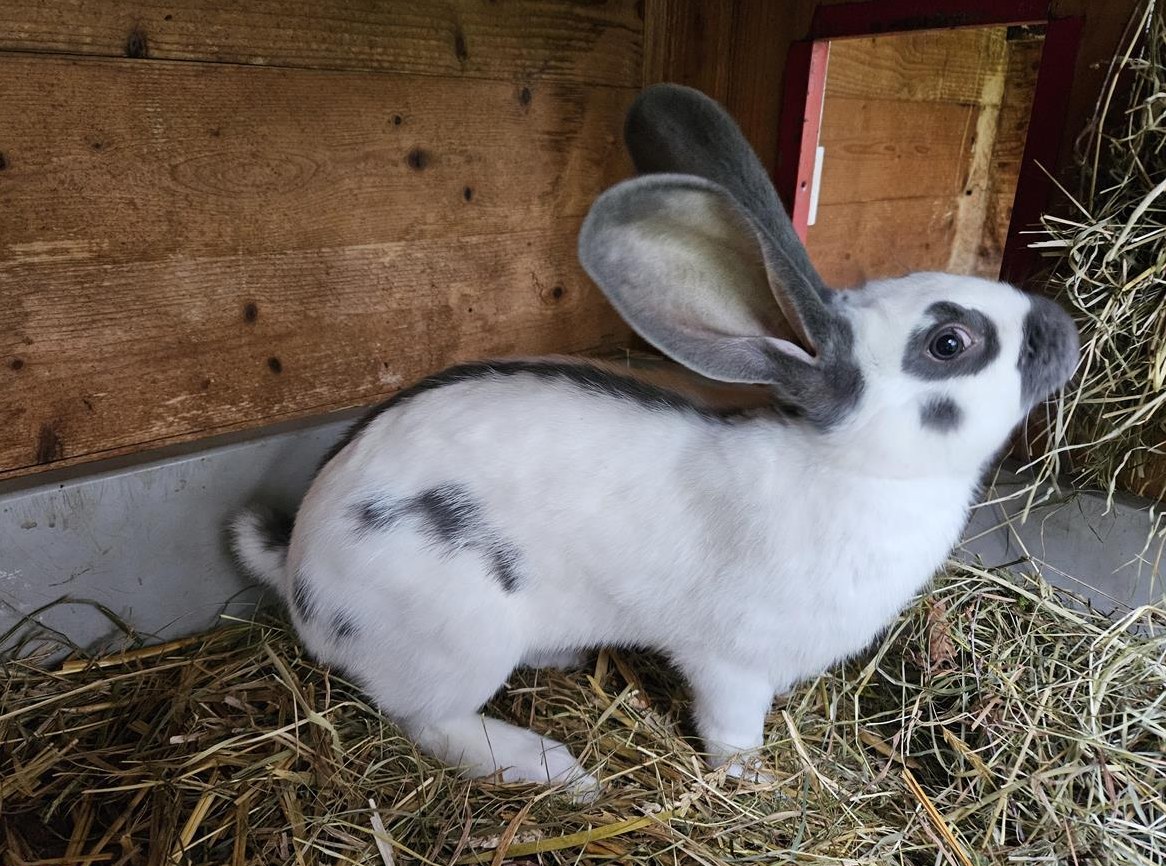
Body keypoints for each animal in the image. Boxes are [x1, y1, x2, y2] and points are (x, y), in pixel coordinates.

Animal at [230, 83, 1079, 801]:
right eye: (949, 342)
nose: (1061, 327)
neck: (854, 465)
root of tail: (300, 567)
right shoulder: (733, 663)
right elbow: (732, 731)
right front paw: (755, 783)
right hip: (456, 637)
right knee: (430, 723)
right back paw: (558, 772)